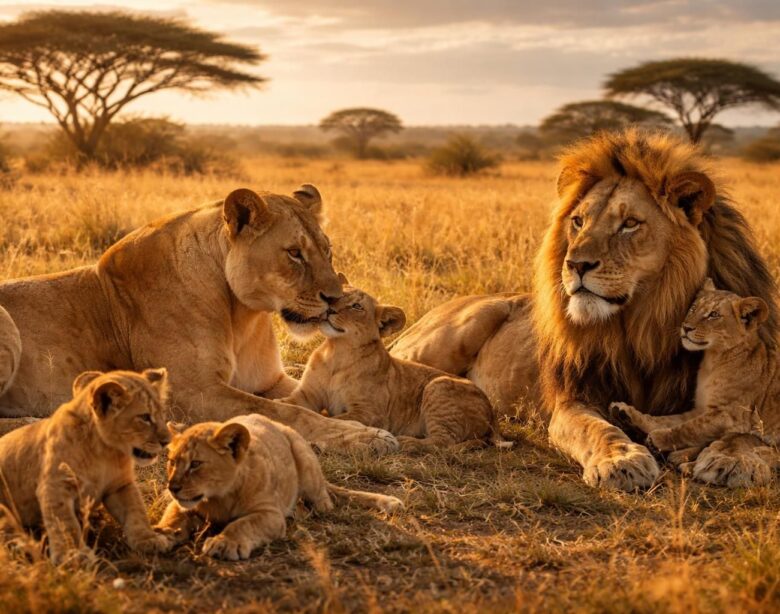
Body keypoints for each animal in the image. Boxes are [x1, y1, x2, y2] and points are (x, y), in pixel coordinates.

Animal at [0, 185, 396, 454]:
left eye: (328, 251)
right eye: (295, 253)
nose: (335, 299)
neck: (243, 316)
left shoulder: (271, 380)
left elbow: (292, 401)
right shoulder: (191, 392)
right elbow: (282, 413)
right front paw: (364, 435)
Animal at [0, 368, 173, 564]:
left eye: (161, 414)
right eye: (144, 417)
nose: (167, 441)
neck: (106, 452)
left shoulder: (120, 485)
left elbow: (136, 510)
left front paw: (148, 539)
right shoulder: (56, 486)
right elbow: (65, 523)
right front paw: (73, 554)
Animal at [156, 414, 404, 561]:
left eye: (195, 464)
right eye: (172, 462)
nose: (172, 487)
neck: (219, 497)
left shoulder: (271, 514)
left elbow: (243, 524)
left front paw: (225, 543)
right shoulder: (181, 506)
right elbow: (172, 518)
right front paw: (160, 535)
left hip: (305, 460)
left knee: (325, 502)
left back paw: (302, 511)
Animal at [283, 286, 510, 451]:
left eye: (357, 306)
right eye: (336, 298)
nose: (329, 309)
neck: (336, 352)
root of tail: (492, 414)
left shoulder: (370, 413)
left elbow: (334, 419)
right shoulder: (307, 395)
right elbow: (290, 405)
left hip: (439, 386)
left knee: (443, 443)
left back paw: (409, 442)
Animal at [609, 280, 779, 485]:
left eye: (714, 315)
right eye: (693, 308)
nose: (686, 327)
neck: (713, 361)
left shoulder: (729, 416)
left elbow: (688, 428)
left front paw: (658, 439)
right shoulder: (702, 409)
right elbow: (668, 420)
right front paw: (625, 412)